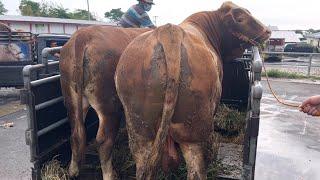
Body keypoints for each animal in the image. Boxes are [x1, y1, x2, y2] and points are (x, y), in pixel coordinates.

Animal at [60, 26, 150, 179]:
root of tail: (83, 35)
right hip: (110, 108)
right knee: (104, 141)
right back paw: (110, 174)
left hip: (72, 101)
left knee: (75, 134)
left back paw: (73, 171)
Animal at [115, 1, 270, 179]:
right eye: (240, 18)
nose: (268, 31)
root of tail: (169, 31)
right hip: (195, 134)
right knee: (196, 170)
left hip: (139, 132)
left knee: (142, 166)